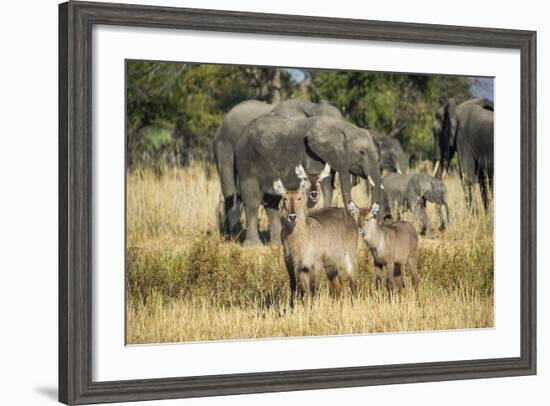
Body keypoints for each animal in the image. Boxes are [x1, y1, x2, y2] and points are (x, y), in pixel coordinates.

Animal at [237, 114, 388, 246]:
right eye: (361, 152)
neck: (343, 127)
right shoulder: (313, 156)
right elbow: (326, 188)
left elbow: (327, 188)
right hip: (246, 161)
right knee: (252, 200)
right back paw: (252, 245)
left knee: (271, 202)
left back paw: (276, 243)